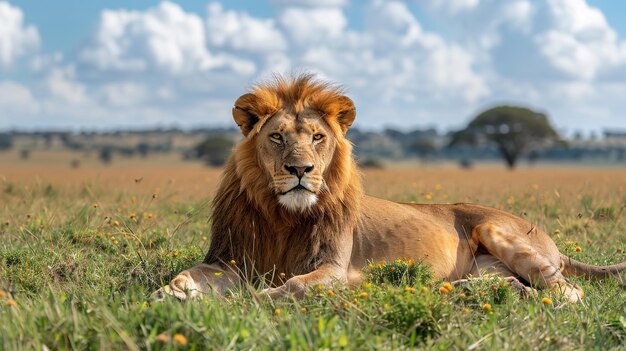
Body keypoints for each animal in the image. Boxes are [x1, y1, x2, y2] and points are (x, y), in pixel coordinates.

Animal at [151, 73, 624, 302]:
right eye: (277, 137)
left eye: (317, 138)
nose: (300, 169)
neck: (282, 214)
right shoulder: (228, 259)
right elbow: (188, 274)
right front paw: (169, 295)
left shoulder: (333, 267)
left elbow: (296, 285)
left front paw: (256, 298)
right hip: (487, 265)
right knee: (514, 285)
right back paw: (459, 291)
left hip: (500, 232)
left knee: (568, 293)